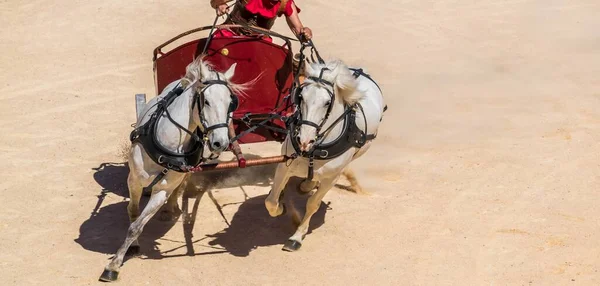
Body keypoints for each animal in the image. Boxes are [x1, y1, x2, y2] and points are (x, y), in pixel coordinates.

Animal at [99, 57, 247, 282]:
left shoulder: (163, 189)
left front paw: (114, 265)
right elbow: (133, 213)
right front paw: (126, 252)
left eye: (231, 103)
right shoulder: (133, 180)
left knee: (180, 186)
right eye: (206, 101)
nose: (220, 143)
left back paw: (172, 207)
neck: (167, 145)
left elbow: (137, 226)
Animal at [264, 58, 386, 250]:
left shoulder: (331, 178)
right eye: (300, 96)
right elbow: (271, 201)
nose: (304, 140)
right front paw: (281, 207)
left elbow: (313, 204)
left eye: (327, 102)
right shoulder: (285, 165)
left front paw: (297, 235)